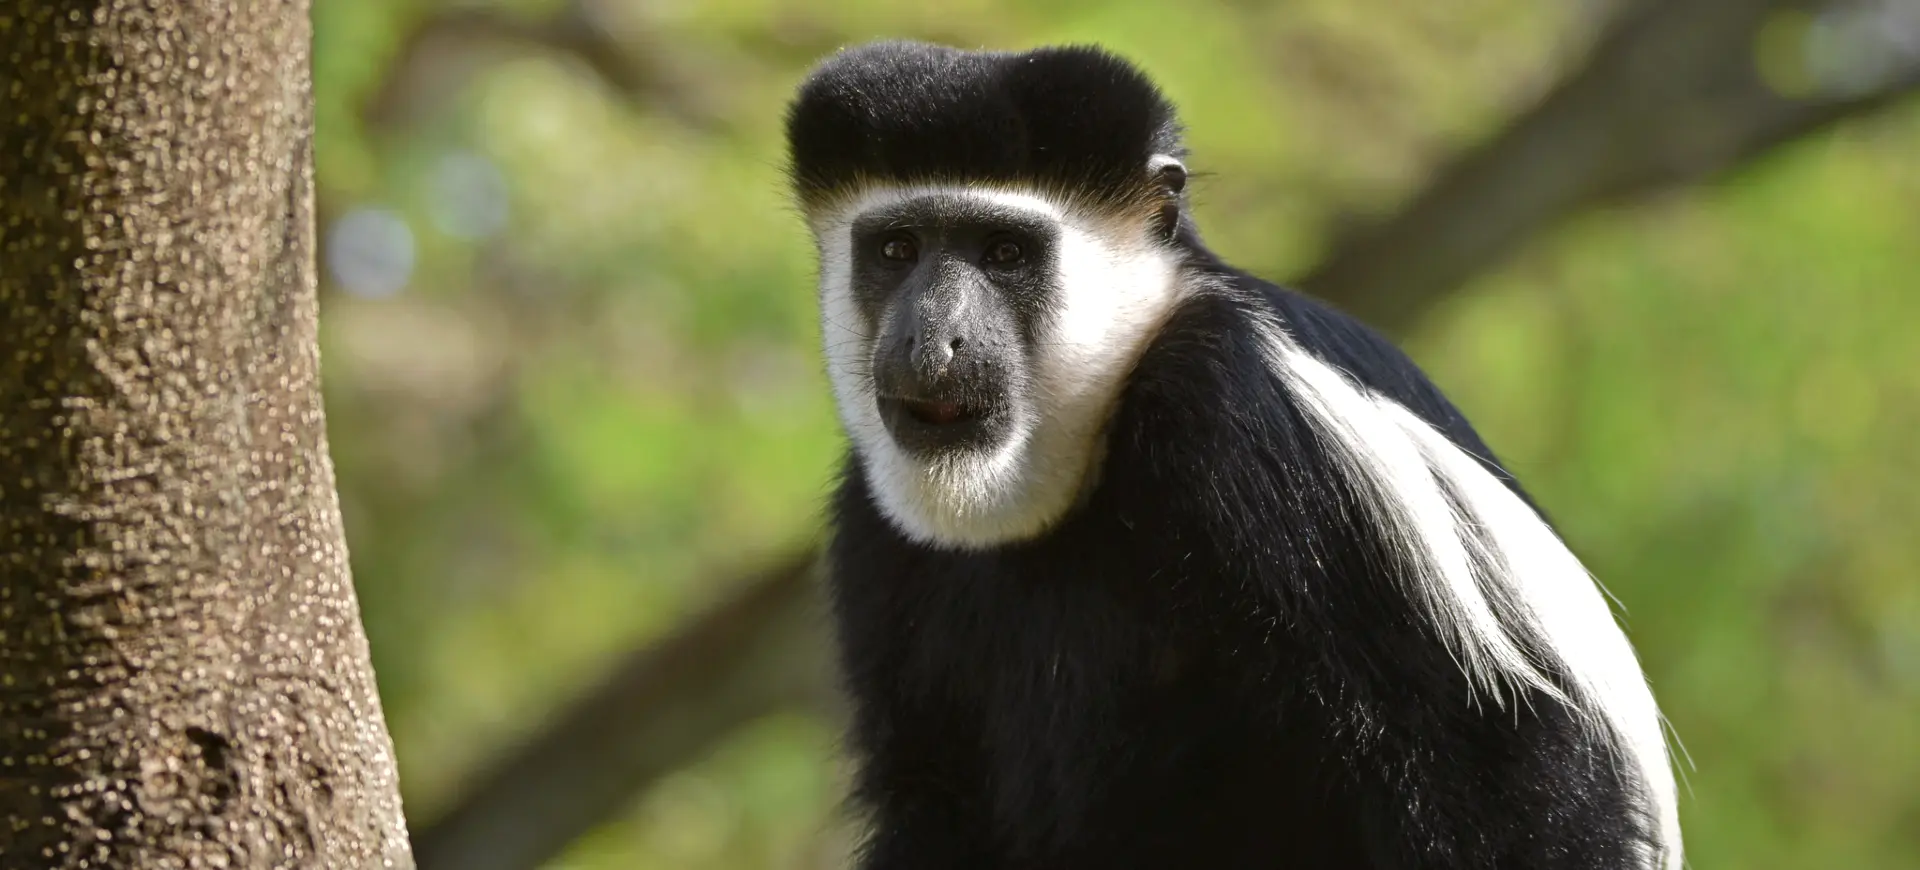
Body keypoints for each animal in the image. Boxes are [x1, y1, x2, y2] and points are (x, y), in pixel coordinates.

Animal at [779, 40, 1681, 868]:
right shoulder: (874, 529)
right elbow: (935, 797)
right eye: (897, 249)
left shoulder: (1259, 432)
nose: (933, 341)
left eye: (1004, 253)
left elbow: (1503, 777)